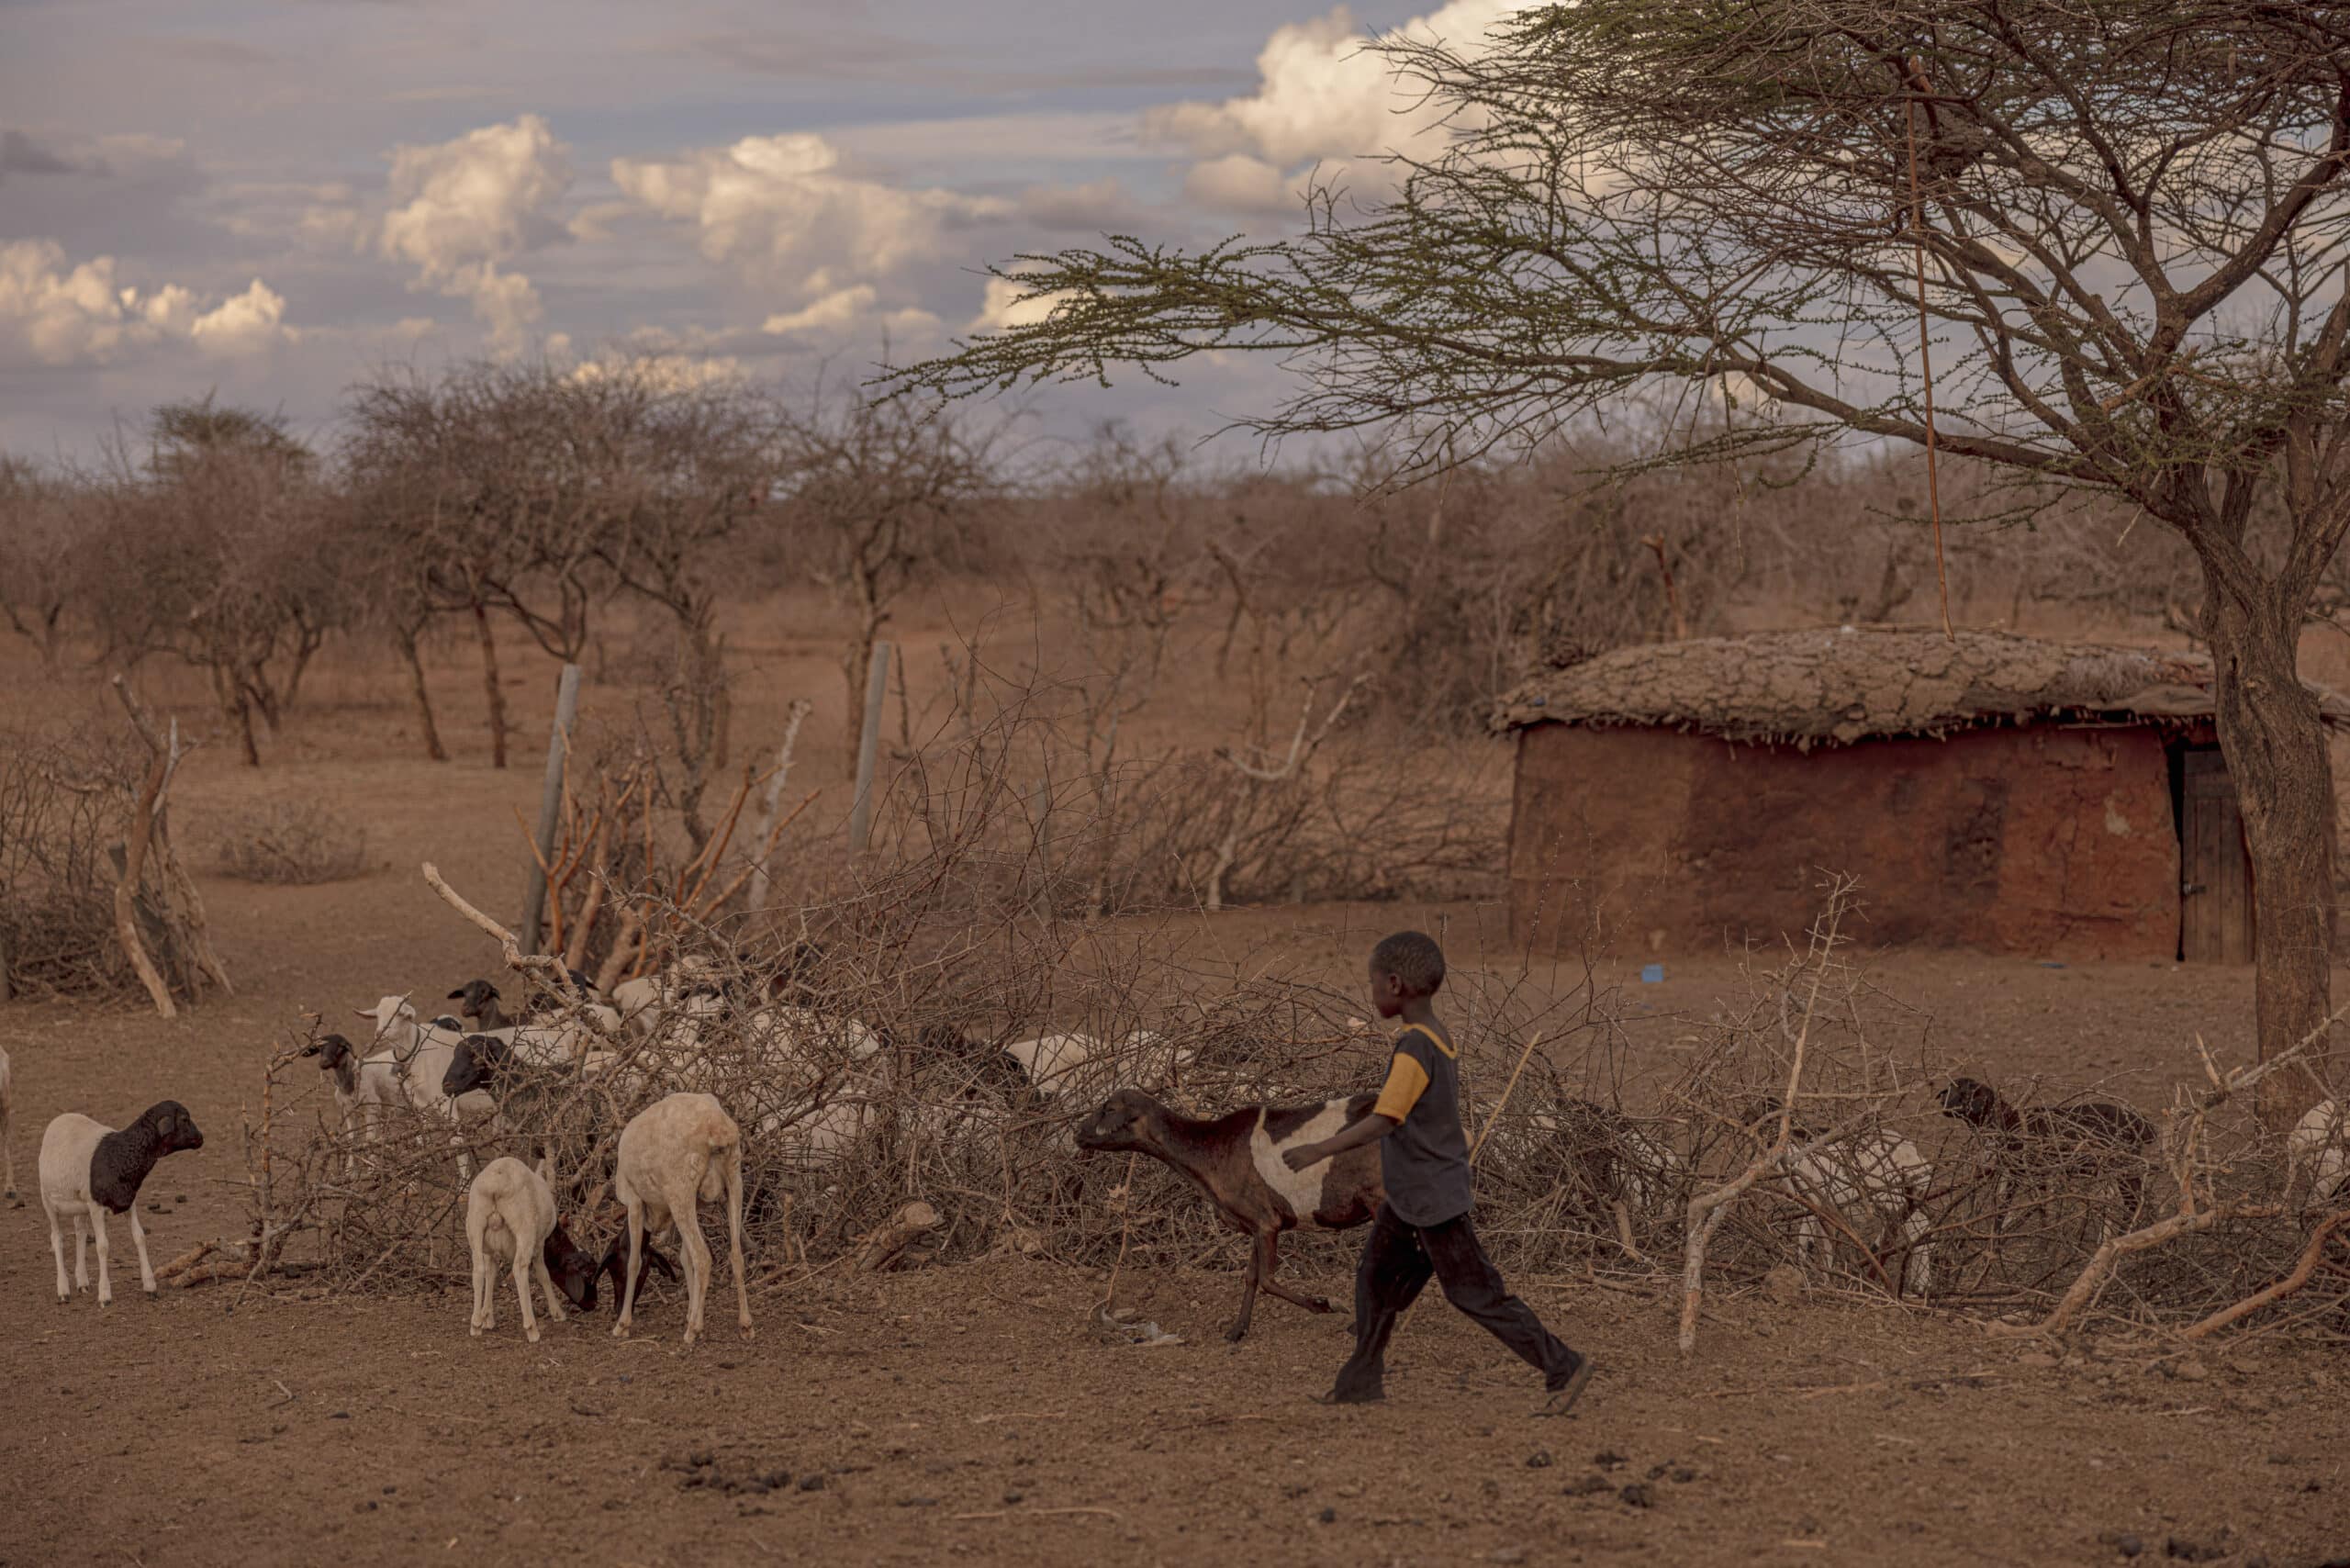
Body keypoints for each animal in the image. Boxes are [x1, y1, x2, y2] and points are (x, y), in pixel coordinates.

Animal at [463, 1160, 568, 1344]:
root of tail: (495, 1182)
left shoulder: (489, 1252)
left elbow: (491, 1273)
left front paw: (487, 1317)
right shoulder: (539, 1244)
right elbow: (543, 1275)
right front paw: (557, 1312)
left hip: (475, 1223)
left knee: (478, 1270)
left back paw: (475, 1324)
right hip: (525, 1227)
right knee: (519, 1268)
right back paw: (532, 1328)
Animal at [1076, 1086, 1382, 1344]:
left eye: (1108, 1108)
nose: (1078, 1133)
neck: (1210, 1150)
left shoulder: (1266, 1221)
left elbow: (1267, 1280)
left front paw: (1323, 1305)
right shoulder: (1255, 1224)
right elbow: (1251, 1277)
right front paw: (1237, 1330)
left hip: (1376, 1198)